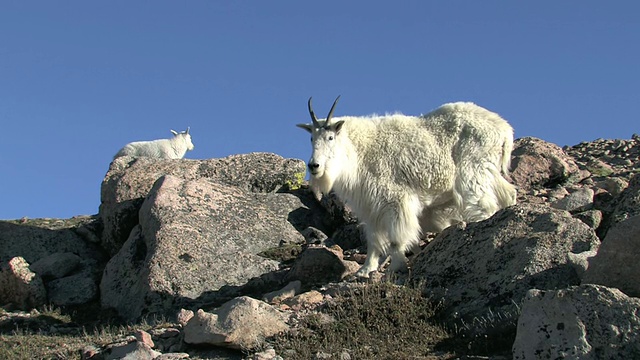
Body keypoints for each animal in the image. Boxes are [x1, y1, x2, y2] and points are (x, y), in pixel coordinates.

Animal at [298, 97, 516, 278]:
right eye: (311, 138)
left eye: (330, 137)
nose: (314, 166)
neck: (359, 150)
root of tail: (504, 129)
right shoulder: (370, 206)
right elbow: (374, 240)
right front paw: (365, 270)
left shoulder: (395, 199)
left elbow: (396, 238)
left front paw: (396, 267)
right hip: (489, 169)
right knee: (508, 193)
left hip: (473, 169)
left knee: (483, 204)